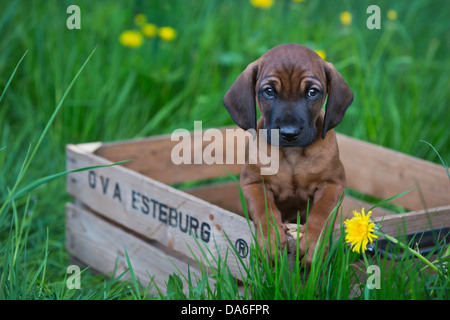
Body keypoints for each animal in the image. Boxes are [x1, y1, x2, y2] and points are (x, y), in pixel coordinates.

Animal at [223, 43, 354, 268]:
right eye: (268, 91)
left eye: (312, 92)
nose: (289, 133)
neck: (293, 154)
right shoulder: (253, 182)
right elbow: (264, 208)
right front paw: (272, 238)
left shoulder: (333, 183)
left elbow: (322, 212)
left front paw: (314, 244)